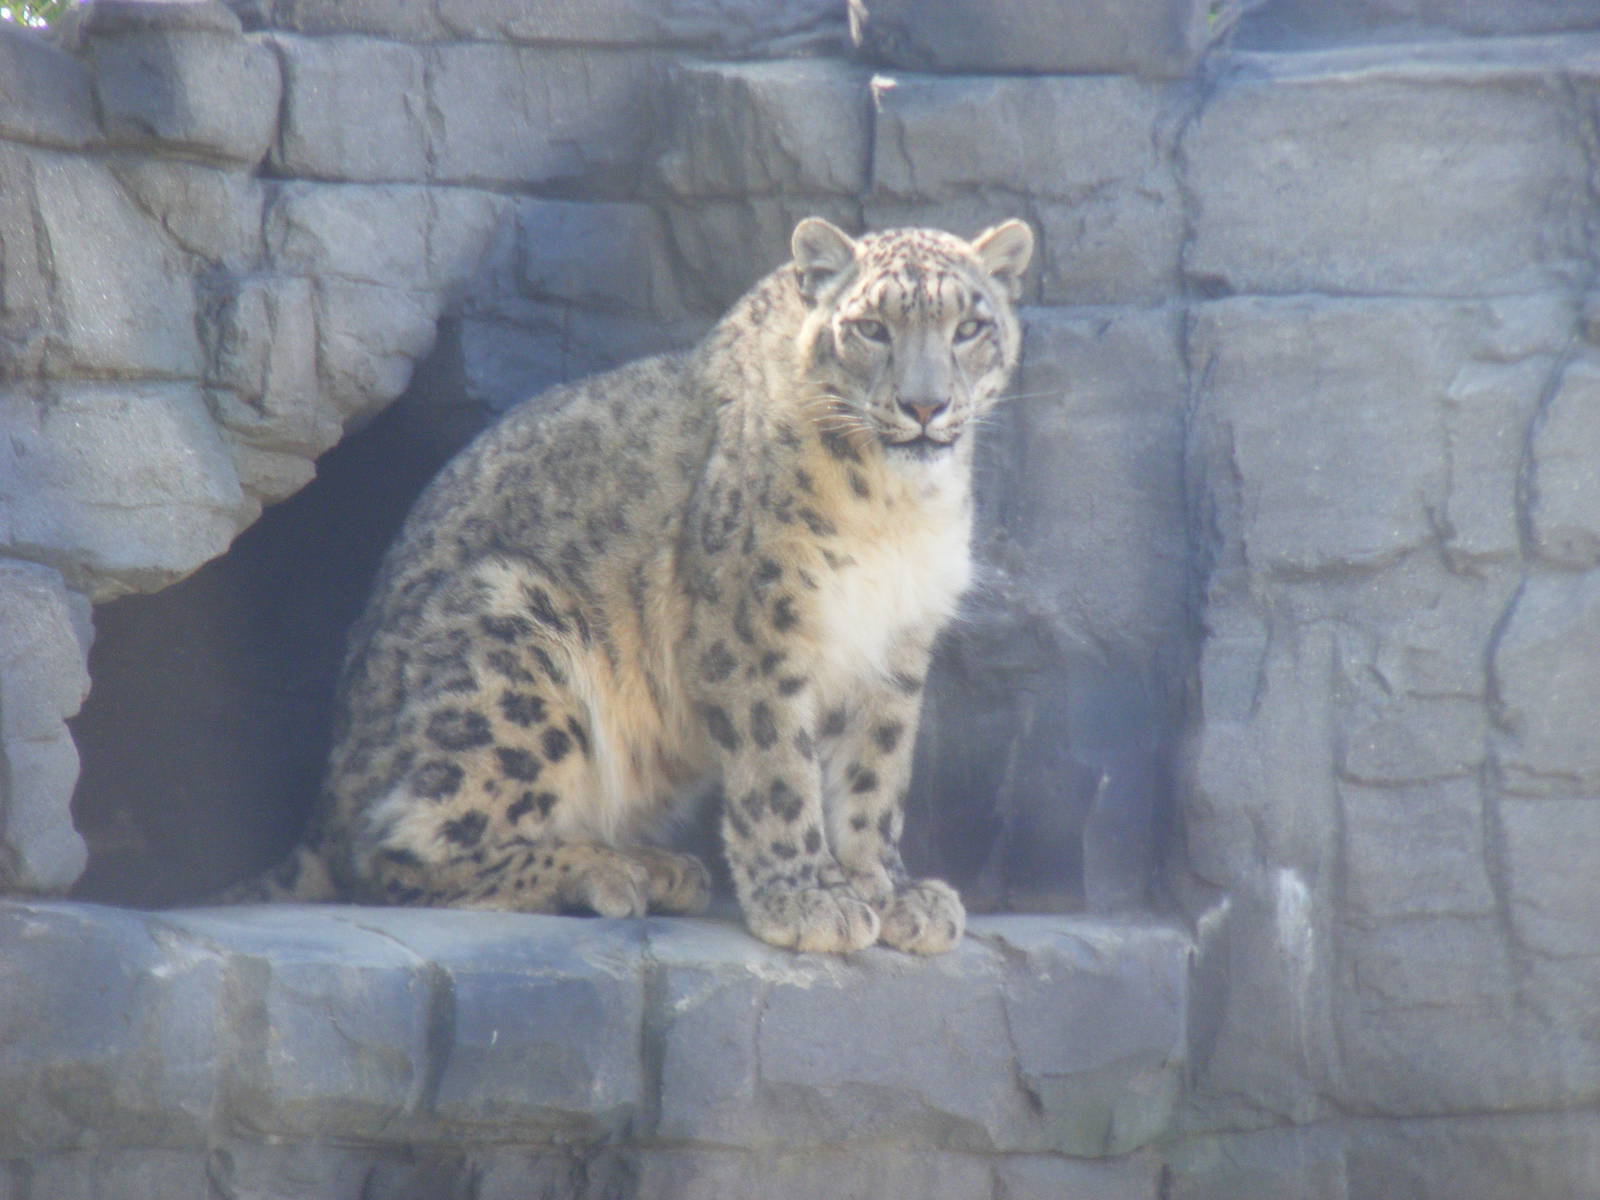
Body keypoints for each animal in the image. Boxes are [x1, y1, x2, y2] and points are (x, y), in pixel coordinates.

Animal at [232, 216, 1034, 955]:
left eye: (968, 327)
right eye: (870, 327)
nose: (925, 405)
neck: (896, 512)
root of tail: (328, 794)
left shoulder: (896, 644)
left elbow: (875, 774)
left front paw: (890, 890)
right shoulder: (753, 625)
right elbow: (777, 768)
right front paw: (807, 899)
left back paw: (657, 865)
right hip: (512, 645)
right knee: (395, 848)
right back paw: (605, 871)